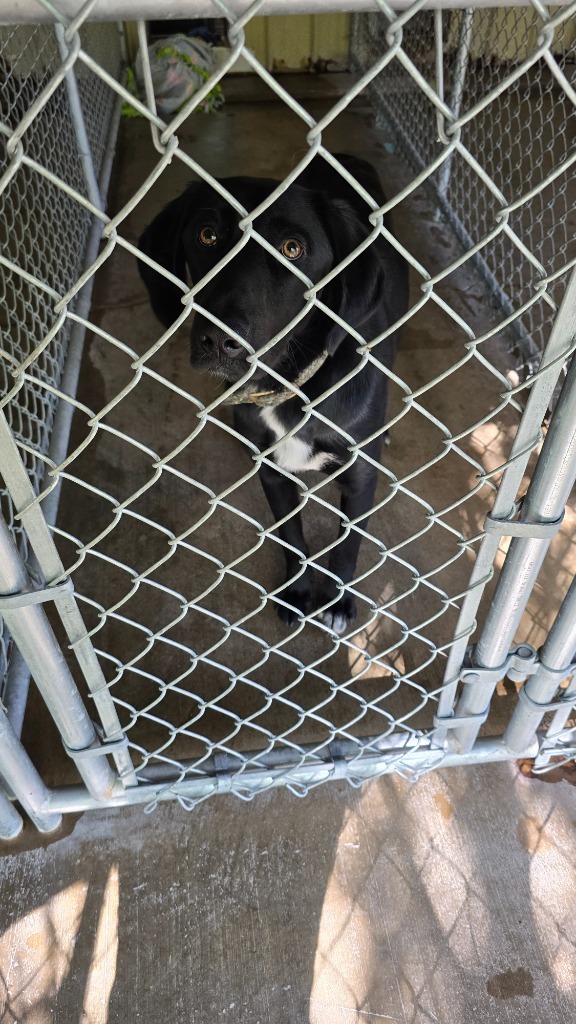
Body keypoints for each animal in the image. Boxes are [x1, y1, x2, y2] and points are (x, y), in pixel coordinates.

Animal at [139, 153, 407, 630]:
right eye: (207, 235)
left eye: (293, 249)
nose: (218, 341)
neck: (287, 387)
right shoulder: (274, 473)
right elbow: (291, 535)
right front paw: (297, 592)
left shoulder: (361, 480)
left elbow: (348, 546)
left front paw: (338, 601)